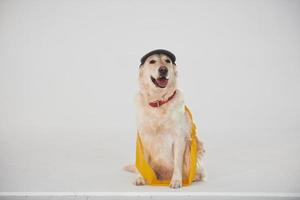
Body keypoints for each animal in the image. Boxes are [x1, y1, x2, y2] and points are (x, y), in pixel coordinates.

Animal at [125, 49, 206, 188]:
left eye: (167, 61)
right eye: (152, 61)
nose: (163, 69)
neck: (159, 102)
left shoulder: (179, 138)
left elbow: (177, 163)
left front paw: (177, 180)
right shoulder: (143, 137)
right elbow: (142, 162)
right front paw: (141, 177)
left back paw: (194, 177)